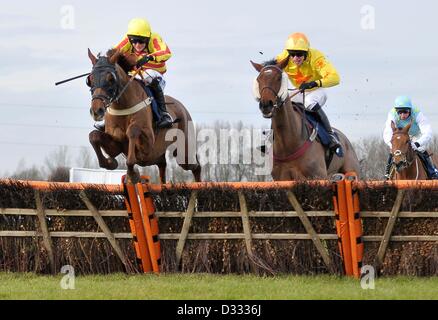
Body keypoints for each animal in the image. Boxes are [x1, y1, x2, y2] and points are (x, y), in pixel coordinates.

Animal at [86, 47, 202, 182]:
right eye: (90, 80)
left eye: (111, 79)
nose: (96, 110)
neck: (123, 108)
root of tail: (182, 107)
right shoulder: (117, 144)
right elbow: (94, 136)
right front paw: (110, 162)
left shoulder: (148, 144)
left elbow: (132, 131)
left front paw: (132, 175)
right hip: (158, 155)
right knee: (162, 166)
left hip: (183, 152)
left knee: (196, 167)